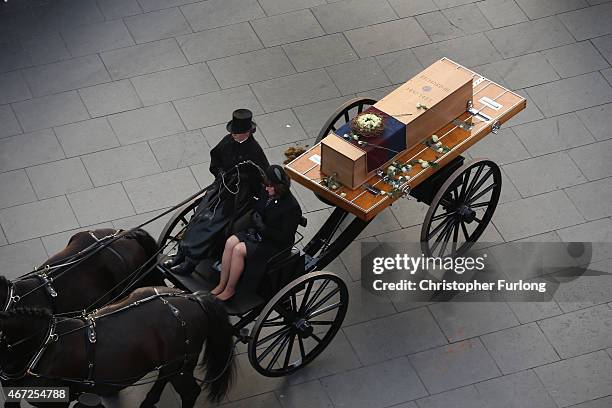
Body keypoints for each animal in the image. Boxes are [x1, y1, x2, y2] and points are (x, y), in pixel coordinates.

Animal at [0, 288, 234, 406]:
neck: (43, 346)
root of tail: (193, 297)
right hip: (173, 364)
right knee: (164, 376)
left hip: (182, 364)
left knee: (190, 392)